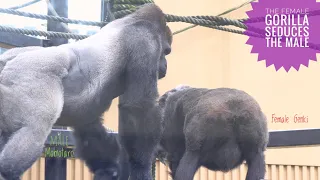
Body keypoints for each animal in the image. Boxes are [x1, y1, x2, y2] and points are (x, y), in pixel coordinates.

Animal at [0, 2, 172, 180]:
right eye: (166, 51)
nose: (166, 65)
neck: (136, 20)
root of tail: (6, 58)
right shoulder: (145, 42)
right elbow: (139, 107)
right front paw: (141, 167)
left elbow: (89, 124)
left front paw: (108, 170)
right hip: (31, 72)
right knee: (36, 127)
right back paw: (8, 172)